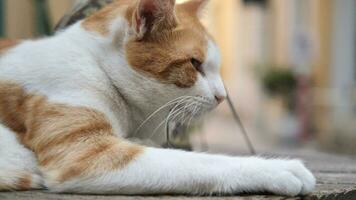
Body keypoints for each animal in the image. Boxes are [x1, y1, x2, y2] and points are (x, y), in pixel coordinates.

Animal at [0, 0, 318, 197]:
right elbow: (195, 162)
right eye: (195, 64)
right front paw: (277, 168)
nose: (222, 96)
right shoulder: (86, 154)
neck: (96, 64)